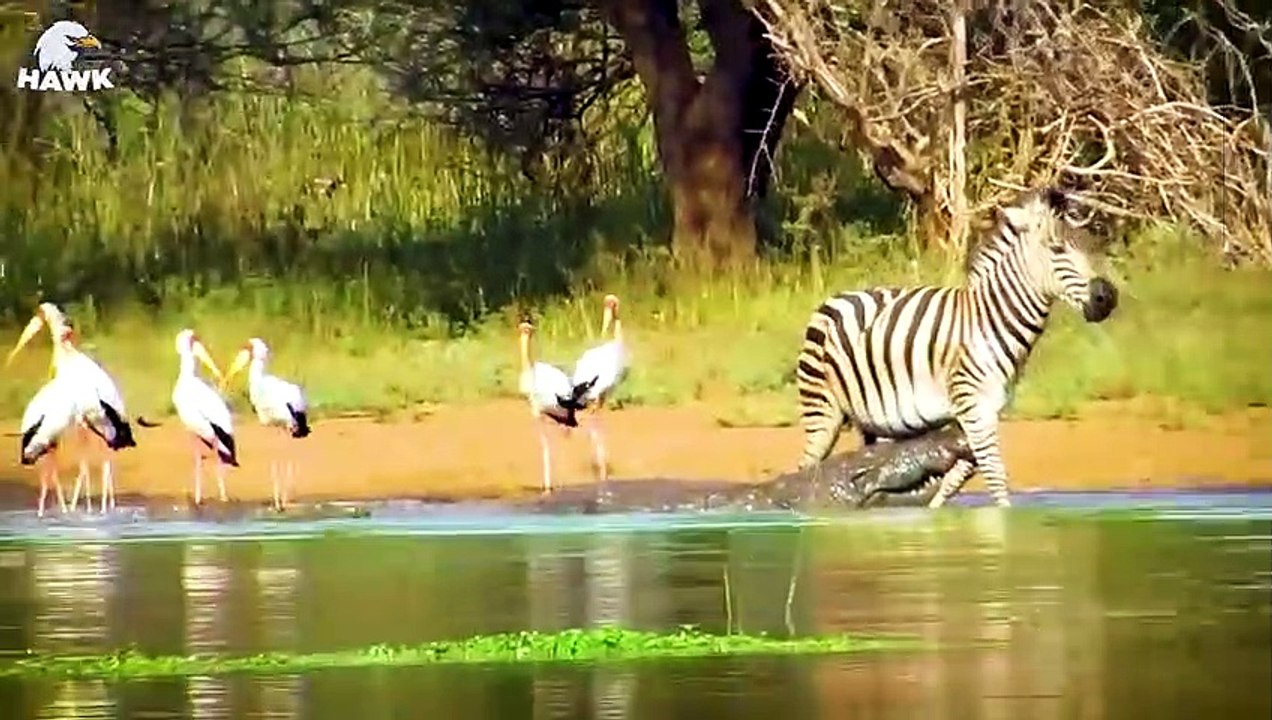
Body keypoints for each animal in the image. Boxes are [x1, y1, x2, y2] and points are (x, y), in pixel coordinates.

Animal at [794, 185, 1118, 508]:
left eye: (1088, 246)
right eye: (1057, 249)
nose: (1107, 298)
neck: (991, 321)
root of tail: (835, 298)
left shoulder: (985, 410)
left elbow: (957, 476)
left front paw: (937, 510)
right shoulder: (974, 407)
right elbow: (994, 477)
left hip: (875, 419)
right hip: (822, 410)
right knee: (808, 467)